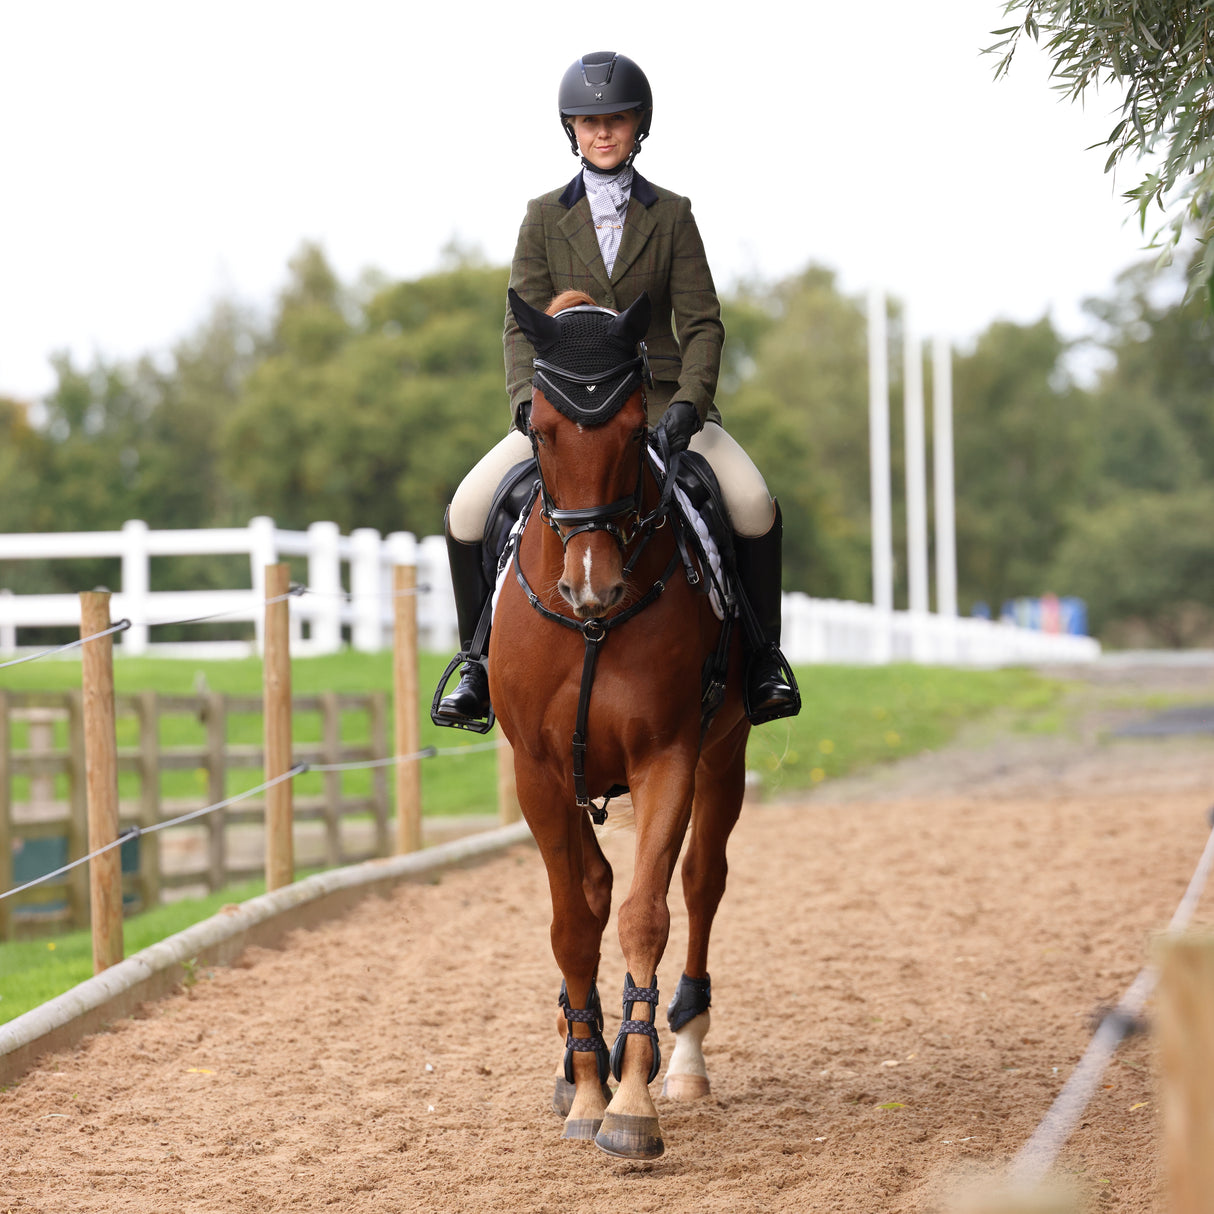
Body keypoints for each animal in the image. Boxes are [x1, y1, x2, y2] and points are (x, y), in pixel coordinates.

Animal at [490, 284, 747, 1155]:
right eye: (540, 428)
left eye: (639, 430)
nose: (590, 588)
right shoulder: (538, 772)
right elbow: (575, 922)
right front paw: (587, 1086)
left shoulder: (667, 756)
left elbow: (645, 913)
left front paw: (630, 1103)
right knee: (596, 888)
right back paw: (579, 1059)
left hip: (724, 752)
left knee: (702, 880)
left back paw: (686, 1059)